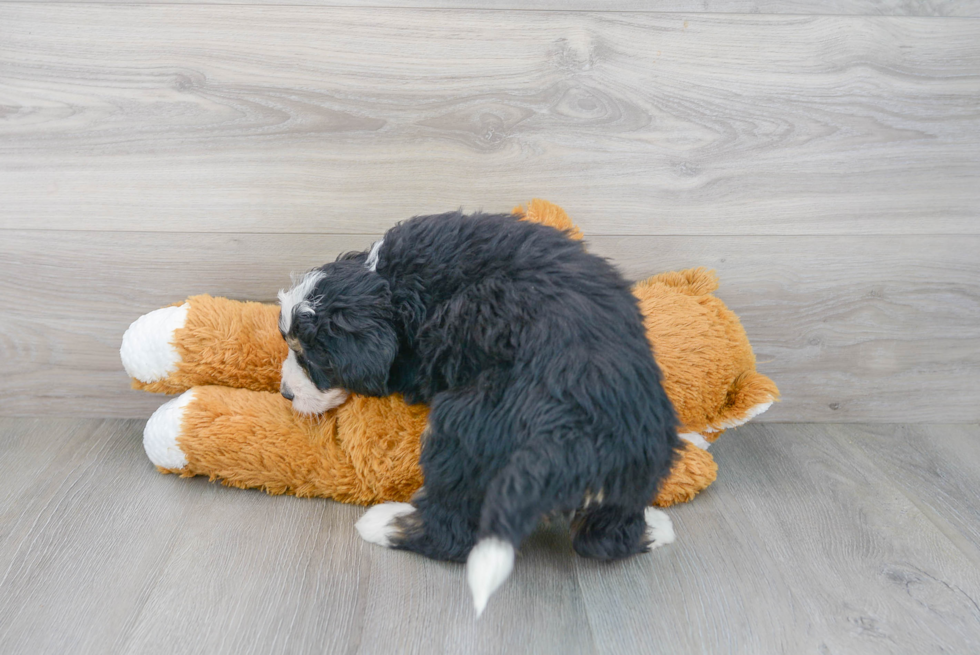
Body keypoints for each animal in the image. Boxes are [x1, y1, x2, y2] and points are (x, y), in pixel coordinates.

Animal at [276, 213, 680, 616]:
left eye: (313, 359)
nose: (285, 393)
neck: (389, 284)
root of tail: (570, 437)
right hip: (637, 464)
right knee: (605, 538)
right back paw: (657, 526)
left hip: (463, 432)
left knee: (452, 532)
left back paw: (381, 524)